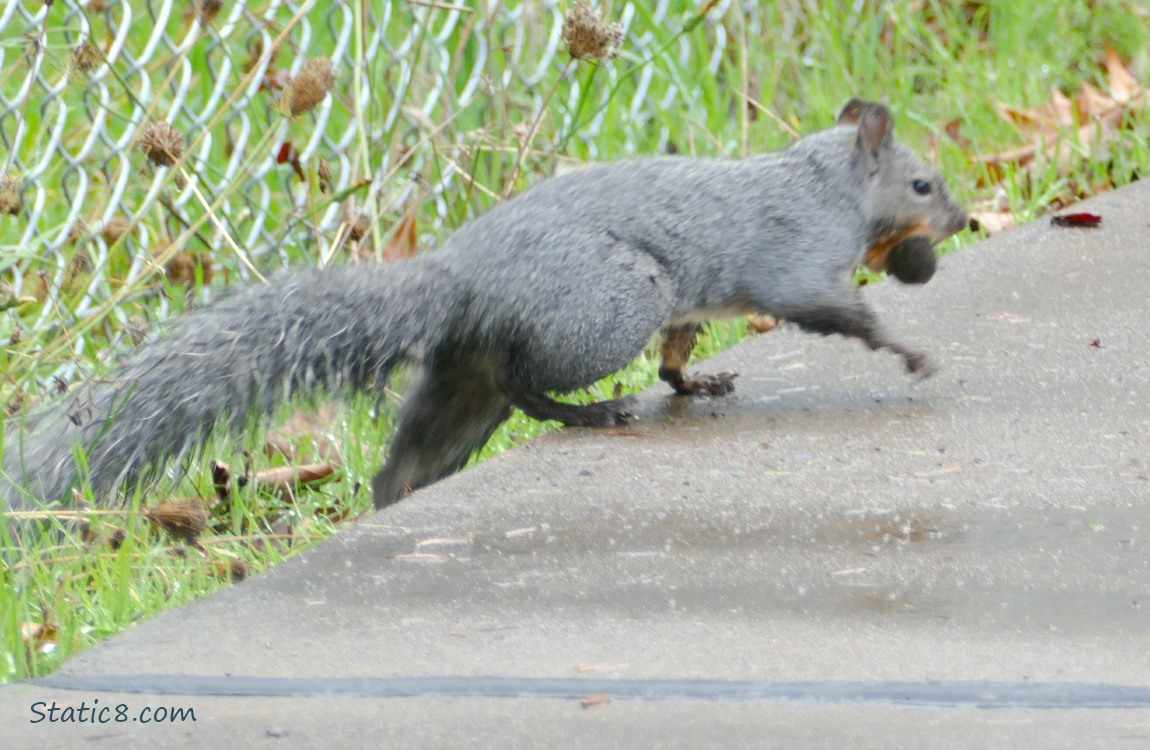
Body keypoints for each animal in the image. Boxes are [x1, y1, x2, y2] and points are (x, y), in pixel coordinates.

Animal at [2, 99, 967, 516]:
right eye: (922, 183)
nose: (961, 220)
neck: (829, 185)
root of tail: (466, 279)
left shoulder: (699, 302)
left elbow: (679, 350)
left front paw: (697, 385)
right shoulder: (794, 258)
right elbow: (834, 312)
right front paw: (908, 351)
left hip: (460, 378)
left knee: (428, 442)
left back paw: (396, 495)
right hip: (608, 304)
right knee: (529, 383)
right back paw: (594, 413)